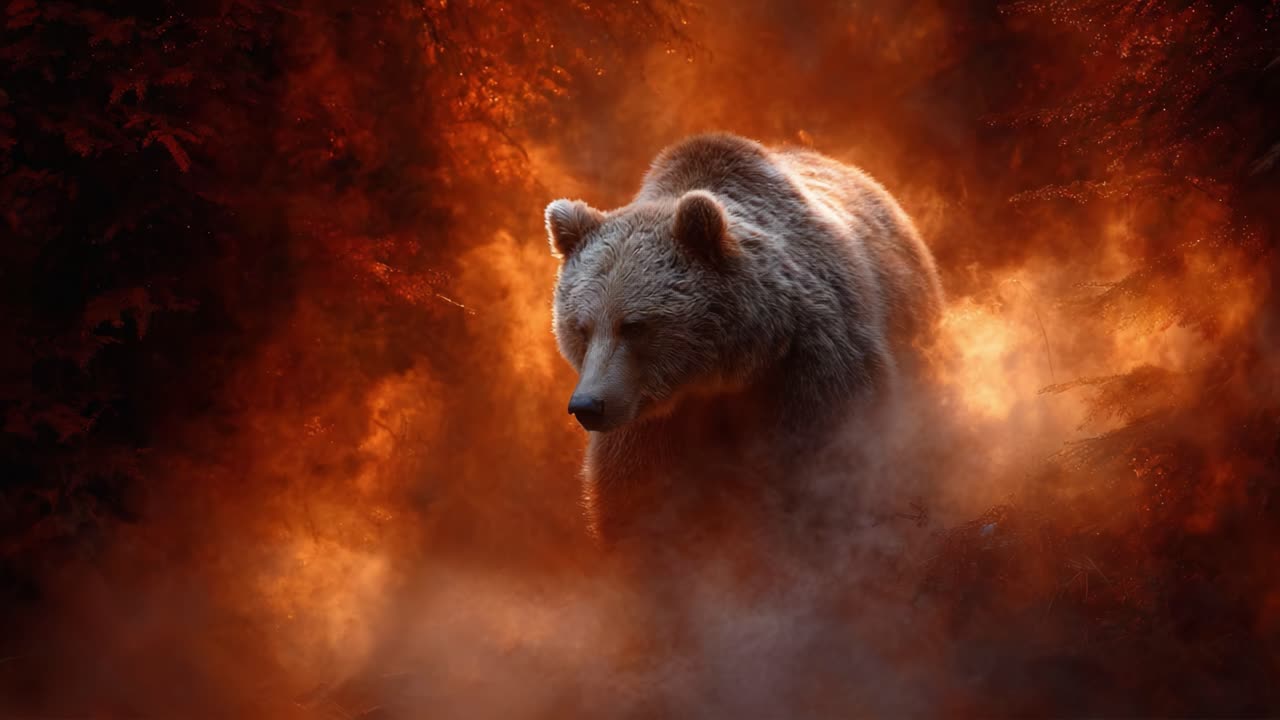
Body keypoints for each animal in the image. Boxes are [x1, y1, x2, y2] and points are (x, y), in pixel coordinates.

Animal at [545, 132, 943, 548]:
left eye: (634, 325)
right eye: (581, 327)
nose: (588, 405)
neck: (725, 374)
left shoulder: (815, 368)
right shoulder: (649, 419)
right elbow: (641, 500)